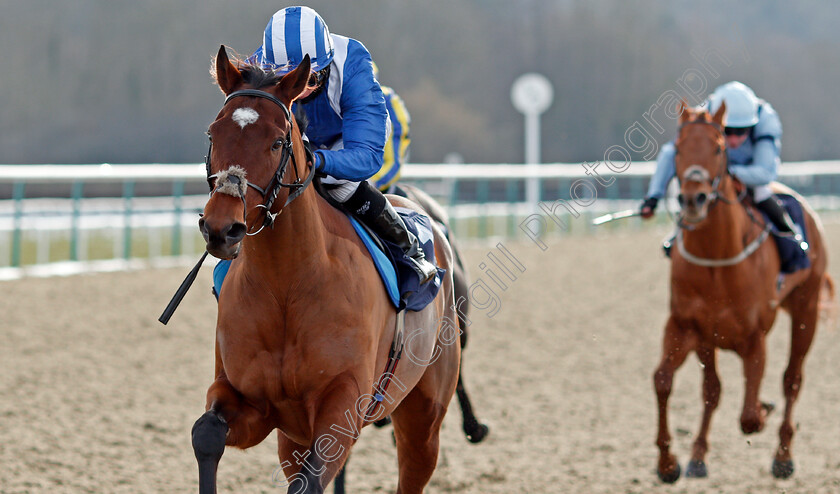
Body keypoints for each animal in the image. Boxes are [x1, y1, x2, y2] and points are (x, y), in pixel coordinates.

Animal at [192, 45, 460, 494]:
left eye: (277, 141)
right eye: (213, 134)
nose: (221, 229)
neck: (287, 285)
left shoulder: (343, 407)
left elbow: (310, 481)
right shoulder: (249, 399)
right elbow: (206, 433)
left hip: (423, 412)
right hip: (293, 436)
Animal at [652, 100, 832, 482]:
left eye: (719, 148)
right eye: (679, 148)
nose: (694, 199)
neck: (716, 261)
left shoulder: (754, 339)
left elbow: (749, 417)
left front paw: (764, 408)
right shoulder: (687, 328)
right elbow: (664, 381)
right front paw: (669, 463)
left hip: (806, 309)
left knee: (792, 379)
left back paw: (783, 456)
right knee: (712, 390)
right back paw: (698, 457)